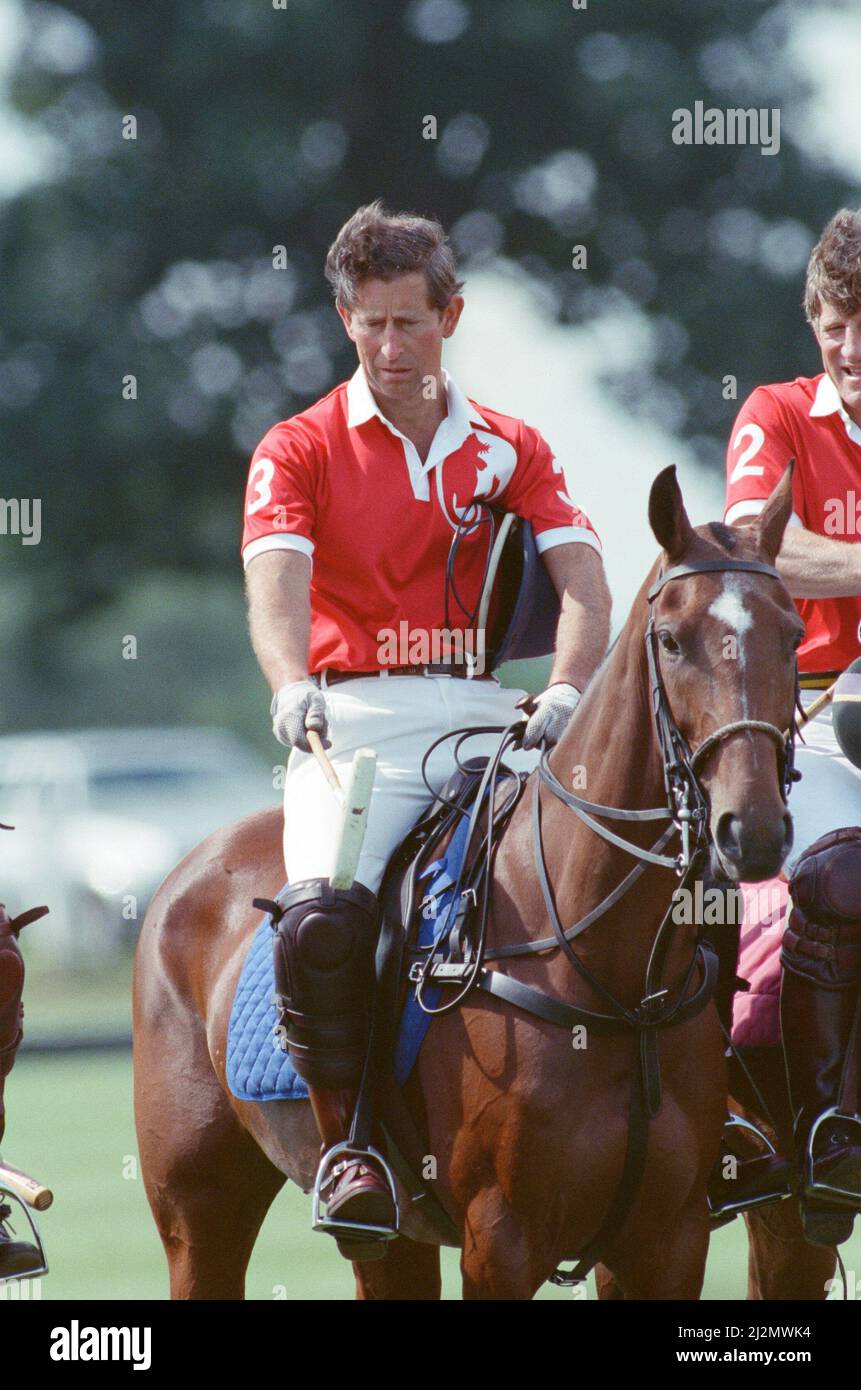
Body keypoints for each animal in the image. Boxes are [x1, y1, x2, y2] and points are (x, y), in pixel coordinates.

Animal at [132, 467, 801, 1301]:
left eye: (792, 633)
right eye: (672, 641)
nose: (753, 829)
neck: (609, 981)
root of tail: (193, 864)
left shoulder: (665, 1239)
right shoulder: (501, 1242)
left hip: (391, 1242)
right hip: (197, 1210)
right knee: (319, 931)